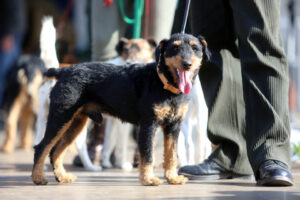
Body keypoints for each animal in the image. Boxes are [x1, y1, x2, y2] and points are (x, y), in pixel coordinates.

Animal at [31, 33, 209, 186]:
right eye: (175, 48)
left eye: (195, 48)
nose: (187, 64)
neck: (163, 82)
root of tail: (62, 71)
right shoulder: (148, 125)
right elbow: (148, 155)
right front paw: (148, 179)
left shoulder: (173, 126)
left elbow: (171, 154)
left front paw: (172, 178)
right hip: (60, 117)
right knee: (41, 148)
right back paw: (38, 177)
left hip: (75, 123)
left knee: (56, 151)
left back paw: (61, 176)